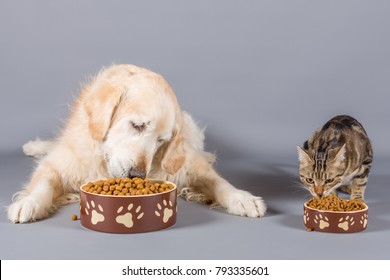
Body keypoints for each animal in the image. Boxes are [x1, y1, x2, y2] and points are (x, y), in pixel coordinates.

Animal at [7, 64, 266, 223]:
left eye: (162, 141)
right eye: (138, 125)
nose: (138, 174)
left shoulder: (188, 167)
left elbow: (219, 182)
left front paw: (243, 199)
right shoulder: (59, 165)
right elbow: (43, 184)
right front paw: (28, 203)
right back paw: (34, 146)